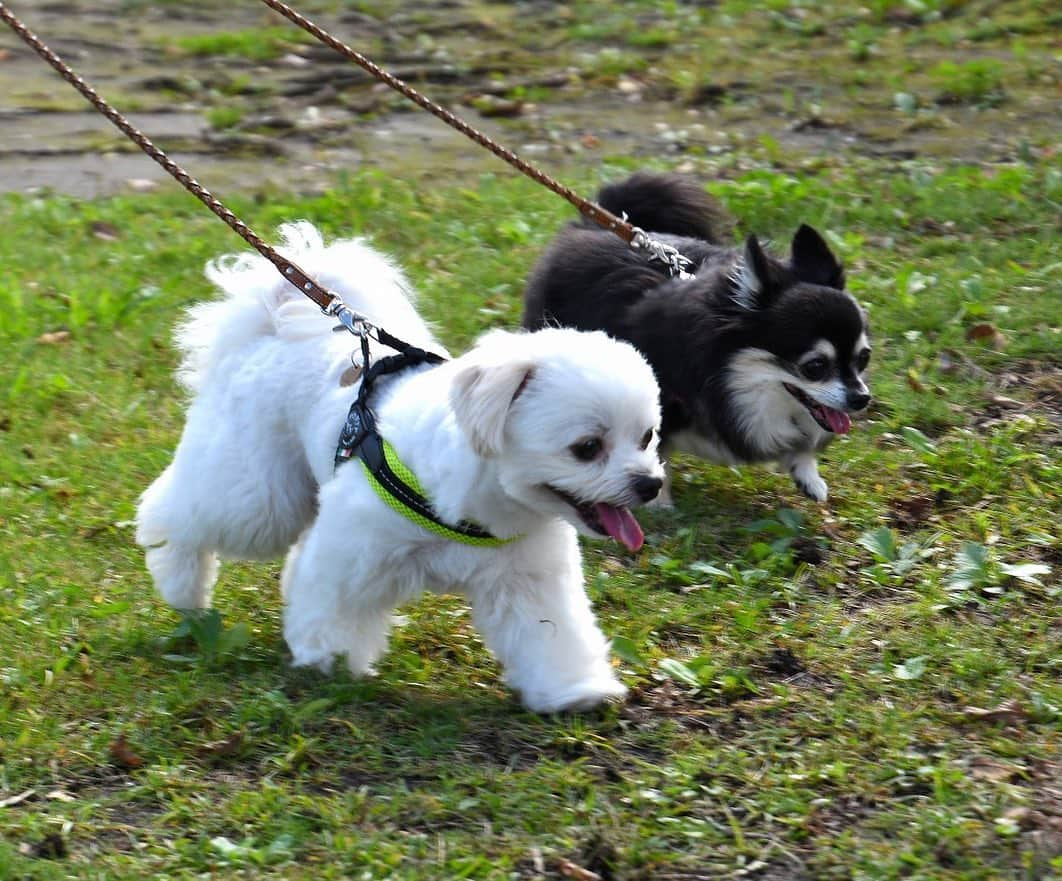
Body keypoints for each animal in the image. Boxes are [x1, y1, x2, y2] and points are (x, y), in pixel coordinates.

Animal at [135, 223, 658, 713]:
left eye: (647, 437)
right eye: (587, 448)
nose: (649, 484)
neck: (476, 506)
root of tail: (273, 325)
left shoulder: (527, 580)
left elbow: (550, 634)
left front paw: (574, 690)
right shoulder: (352, 555)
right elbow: (334, 609)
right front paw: (329, 661)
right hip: (259, 496)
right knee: (176, 515)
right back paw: (182, 586)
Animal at [524, 171, 870, 503]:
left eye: (863, 359)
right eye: (815, 367)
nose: (862, 398)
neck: (722, 371)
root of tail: (594, 223)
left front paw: (808, 475)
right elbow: (653, 448)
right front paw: (658, 503)